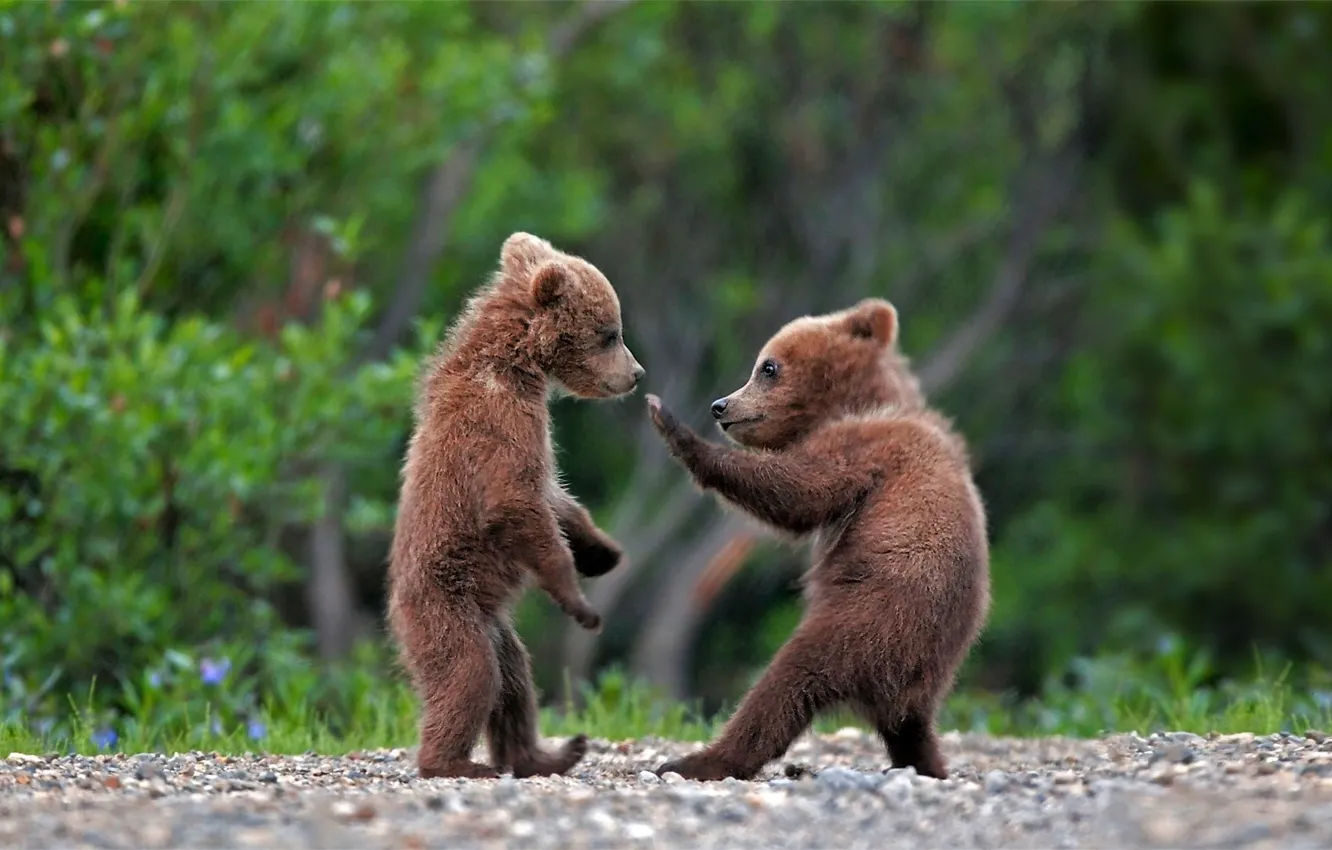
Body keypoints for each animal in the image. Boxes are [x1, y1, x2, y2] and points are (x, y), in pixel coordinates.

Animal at [387, 231, 645, 780]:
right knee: (470, 674)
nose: (636, 373)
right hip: (447, 607)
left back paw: (547, 753)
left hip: (494, 625)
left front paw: (603, 551)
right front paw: (580, 603)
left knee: (514, 683)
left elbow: (555, 497)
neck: (517, 365)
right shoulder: (500, 424)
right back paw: (454, 763)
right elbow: (515, 502)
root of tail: (399, 615)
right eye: (610, 332)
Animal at [643, 297, 989, 781]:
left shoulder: (865, 450)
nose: (720, 405)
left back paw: (698, 759)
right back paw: (926, 764)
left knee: (786, 682)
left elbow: (798, 491)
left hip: (869, 619)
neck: (861, 403)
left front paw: (670, 423)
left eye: (767, 366)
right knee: (910, 726)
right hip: (921, 666)